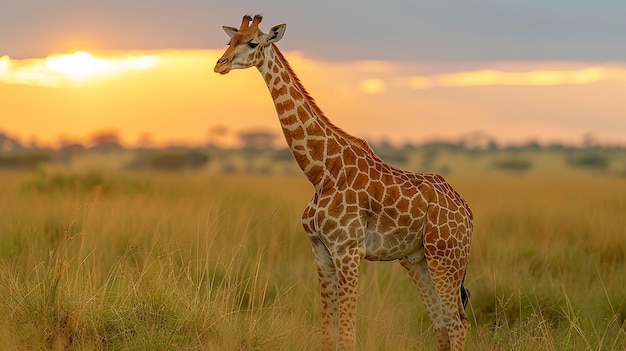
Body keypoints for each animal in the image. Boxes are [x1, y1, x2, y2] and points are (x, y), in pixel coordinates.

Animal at [212, 14, 470, 351]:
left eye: (253, 42)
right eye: (230, 39)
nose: (220, 64)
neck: (321, 172)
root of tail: (467, 212)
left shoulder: (348, 251)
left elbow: (347, 336)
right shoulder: (321, 251)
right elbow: (328, 334)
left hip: (446, 256)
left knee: (457, 323)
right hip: (417, 259)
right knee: (441, 324)